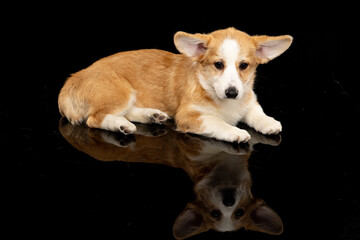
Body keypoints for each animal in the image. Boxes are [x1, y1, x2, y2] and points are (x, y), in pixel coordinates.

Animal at [57, 26, 292, 142]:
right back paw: (122, 126)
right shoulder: (189, 116)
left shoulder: (249, 101)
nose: (232, 92)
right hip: (120, 92)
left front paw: (269, 123)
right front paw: (235, 132)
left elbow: (257, 113)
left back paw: (152, 115)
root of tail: (73, 78)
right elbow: (217, 122)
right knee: (95, 119)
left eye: (244, 65)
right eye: (218, 64)